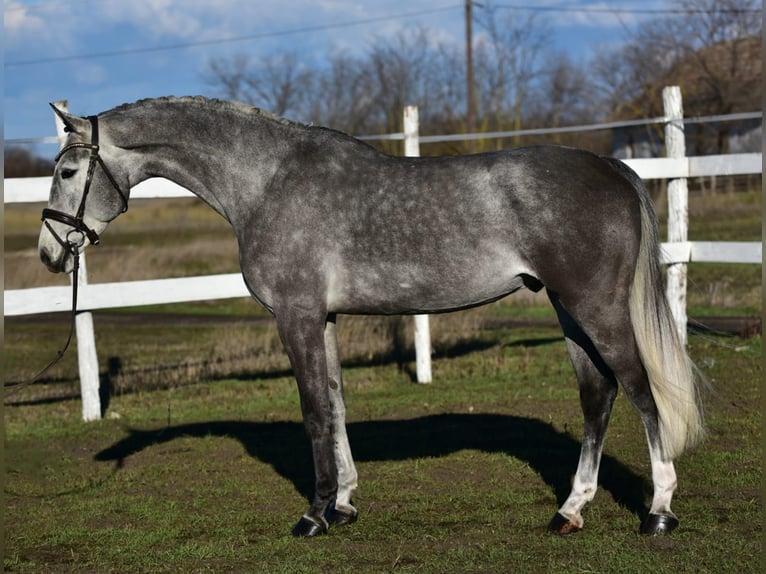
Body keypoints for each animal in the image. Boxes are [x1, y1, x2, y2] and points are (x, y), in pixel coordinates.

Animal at [39, 97, 705, 538]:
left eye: (68, 171)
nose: (50, 253)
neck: (267, 181)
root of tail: (612, 167)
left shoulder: (297, 317)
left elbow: (313, 412)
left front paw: (314, 516)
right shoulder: (325, 319)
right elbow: (336, 406)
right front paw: (345, 504)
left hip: (596, 308)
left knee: (641, 391)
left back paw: (659, 512)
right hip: (568, 311)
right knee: (598, 397)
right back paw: (570, 511)